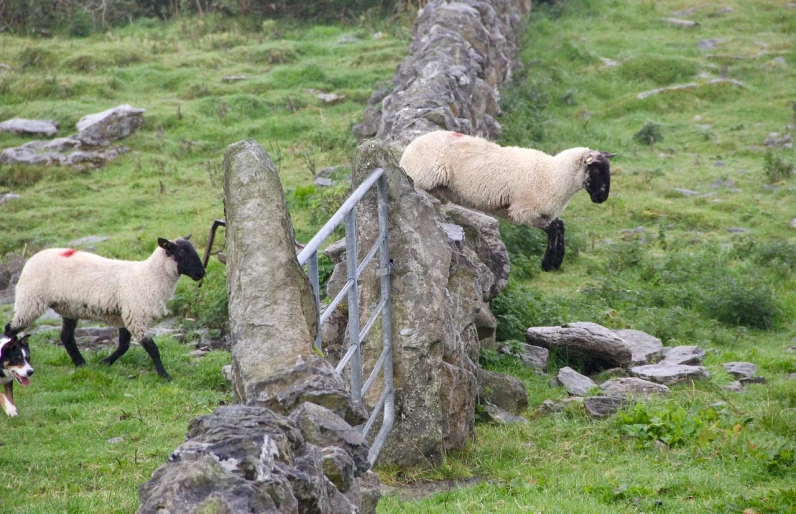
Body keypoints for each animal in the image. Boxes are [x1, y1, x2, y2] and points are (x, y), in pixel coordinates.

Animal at [5, 237, 205, 380]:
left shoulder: (125, 316)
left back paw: (81, 364)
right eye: (181, 251)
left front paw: (104, 363)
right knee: (10, 328)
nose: (201, 273)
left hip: (68, 307)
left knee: (66, 336)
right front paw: (165, 376)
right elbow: (152, 349)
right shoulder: (136, 315)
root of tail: (32, 259)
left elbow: (123, 346)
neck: (148, 277)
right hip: (30, 300)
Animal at [402, 130, 620, 270]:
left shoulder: (541, 212)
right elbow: (554, 228)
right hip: (422, 179)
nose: (602, 198)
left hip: (438, 191)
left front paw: (555, 260)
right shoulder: (523, 211)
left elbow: (560, 225)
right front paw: (549, 262)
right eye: (596, 170)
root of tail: (409, 148)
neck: (553, 175)